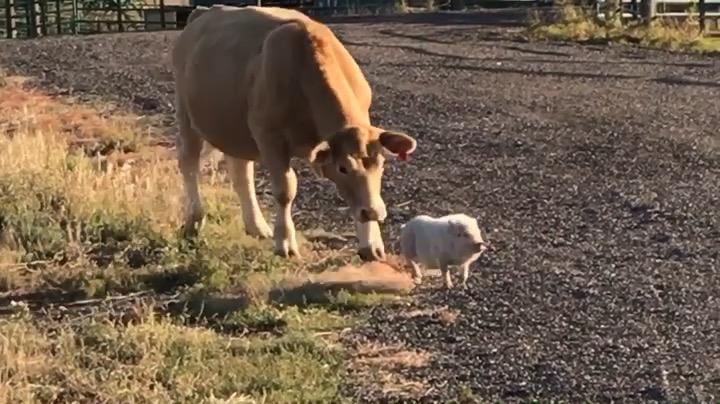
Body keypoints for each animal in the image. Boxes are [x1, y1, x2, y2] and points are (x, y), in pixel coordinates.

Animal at [170, 5, 417, 261]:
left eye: (381, 164)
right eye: (343, 168)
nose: (375, 212)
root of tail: (203, 12)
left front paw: (371, 243)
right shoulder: (269, 136)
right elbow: (285, 190)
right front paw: (285, 242)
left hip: (234, 129)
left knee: (240, 173)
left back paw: (256, 226)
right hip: (186, 115)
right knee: (189, 163)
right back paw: (194, 221)